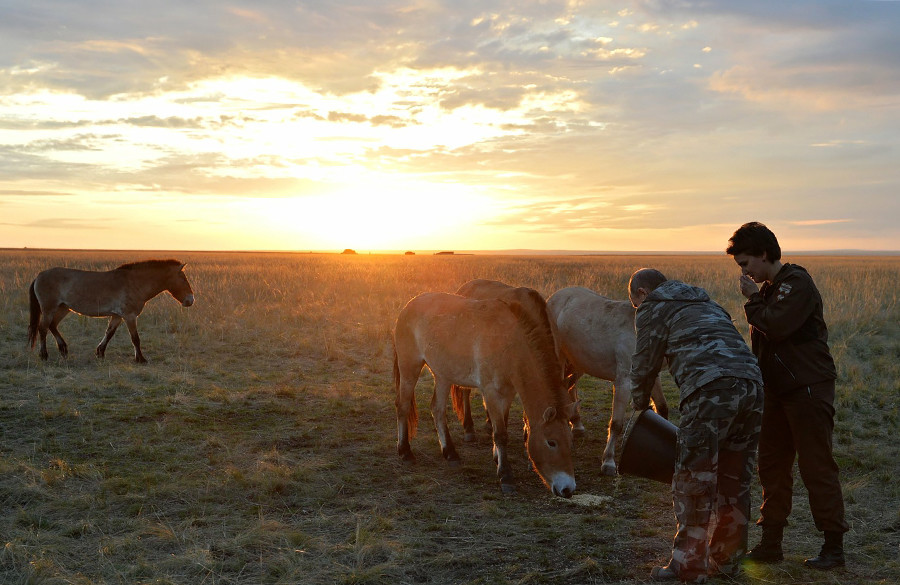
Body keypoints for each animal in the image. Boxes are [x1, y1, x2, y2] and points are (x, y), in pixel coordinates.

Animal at [28, 258, 195, 362]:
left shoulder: (117, 316)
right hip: (49, 309)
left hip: (63, 308)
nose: (191, 300)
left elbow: (109, 333)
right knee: (43, 328)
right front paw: (140, 359)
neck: (134, 282)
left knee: (52, 326)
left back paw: (63, 349)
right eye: (183, 279)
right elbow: (135, 338)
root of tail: (39, 276)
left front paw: (100, 353)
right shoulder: (129, 316)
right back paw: (44, 355)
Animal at [394, 290, 576, 496]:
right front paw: (506, 476)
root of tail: (409, 305)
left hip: (443, 375)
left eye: (570, 441)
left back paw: (450, 453)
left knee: (437, 410)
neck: (510, 343)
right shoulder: (491, 393)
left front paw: (497, 458)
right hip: (410, 367)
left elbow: (502, 424)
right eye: (551, 442)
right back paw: (405, 452)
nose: (568, 489)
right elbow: (500, 433)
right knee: (403, 406)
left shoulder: (508, 392)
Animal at [540, 286, 668, 474]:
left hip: (579, 363)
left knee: (570, 388)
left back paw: (576, 425)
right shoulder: (624, 381)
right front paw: (608, 461)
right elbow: (616, 423)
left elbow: (662, 408)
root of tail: (555, 297)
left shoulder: (653, 376)